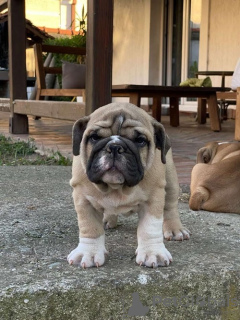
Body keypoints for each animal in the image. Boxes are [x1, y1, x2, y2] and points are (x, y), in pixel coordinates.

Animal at [67, 103, 189, 268]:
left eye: (140, 140)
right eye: (94, 137)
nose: (114, 147)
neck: (117, 187)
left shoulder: (154, 198)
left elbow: (150, 228)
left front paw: (152, 253)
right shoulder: (83, 198)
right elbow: (90, 227)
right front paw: (89, 253)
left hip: (170, 181)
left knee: (170, 207)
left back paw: (175, 229)